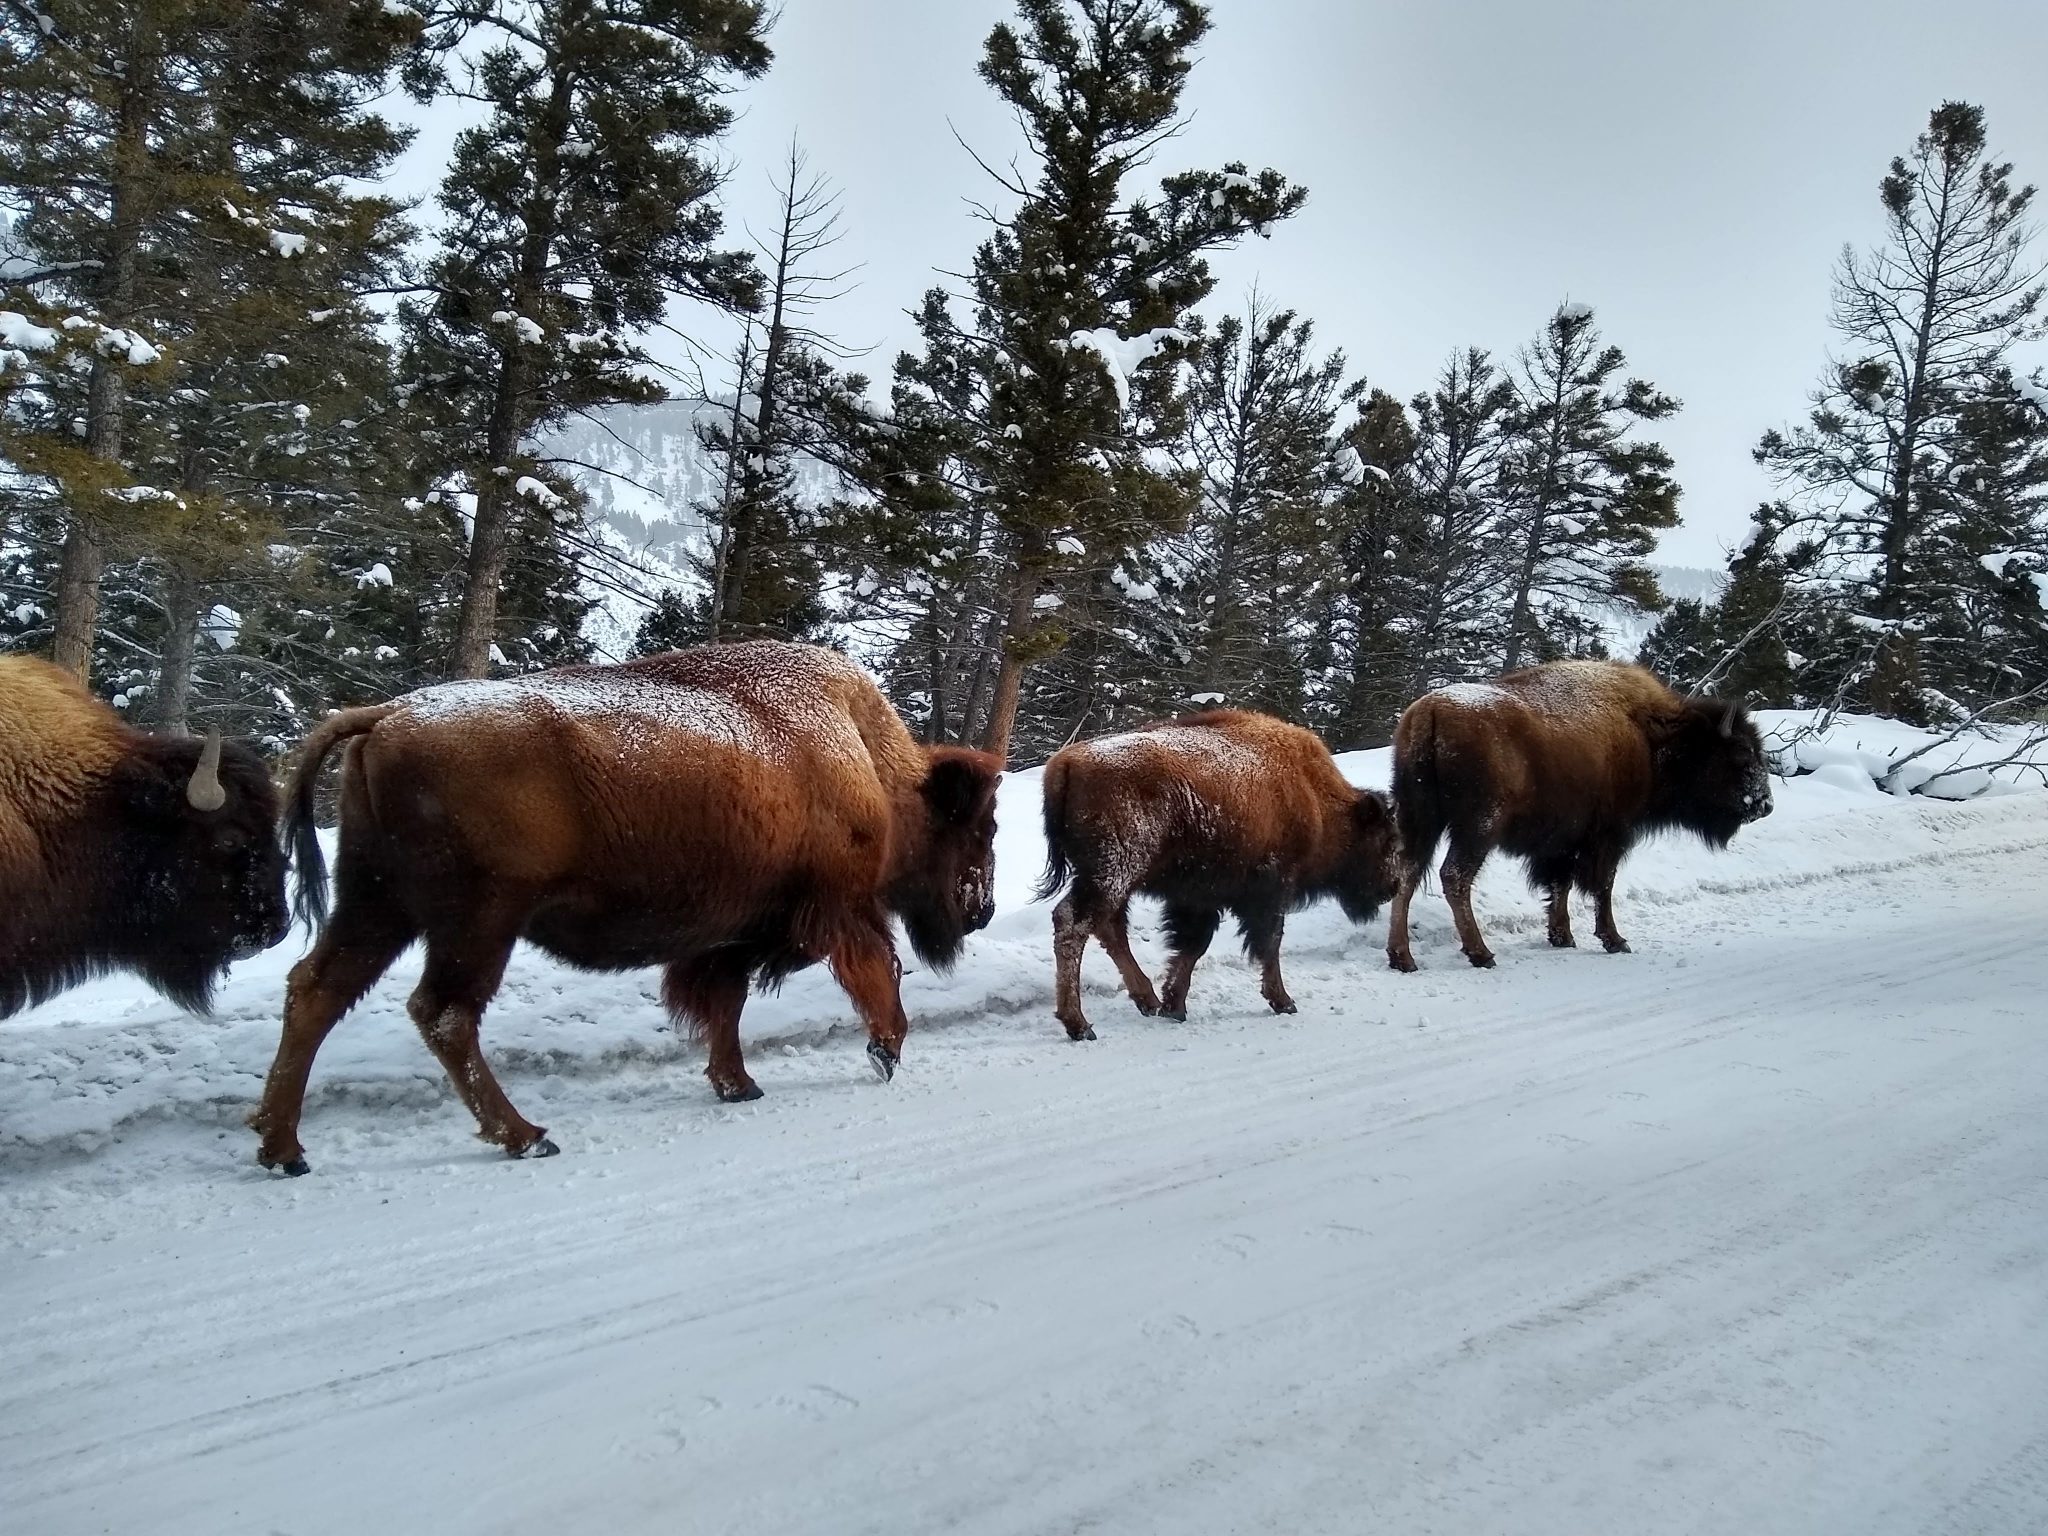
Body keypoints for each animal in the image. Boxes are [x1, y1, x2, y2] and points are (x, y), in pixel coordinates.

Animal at [251, 638, 1003, 1179]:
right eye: (977, 829)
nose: (984, 910)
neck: (868, 763)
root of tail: (385, 716)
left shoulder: (733, 933)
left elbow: (724, 1002)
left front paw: (737, 1085)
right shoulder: (835, 910)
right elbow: (877, 971)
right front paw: (885, 1052)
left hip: (378, 905)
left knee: (319, 991)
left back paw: (283, 1149)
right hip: (479, 920)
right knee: (444, 1013)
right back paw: (525, 1138)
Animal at [1040, 716, 1392, 1040]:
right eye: (1383, 840)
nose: (1391, 888)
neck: (1314, 796)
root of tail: (1066, 764)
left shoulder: (1198, 898)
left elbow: (1193, 945)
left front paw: (1174, 1005)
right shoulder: (1269, 891)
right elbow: (1269, 942)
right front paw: (1283, 1001)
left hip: (1112, 881)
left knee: (1110, 929)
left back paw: (1148, 1002)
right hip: (1113, 875)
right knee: (1074, 924)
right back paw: (1079, 1025)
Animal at [1392, 663, 1777, 974]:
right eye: (1741, 754)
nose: (1765, 804)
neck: (1650, 736)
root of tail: (1430, 712)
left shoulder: (1563, 842)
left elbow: (1559, 885)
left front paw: (1561, 936)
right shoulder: (1609, 835)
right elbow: (1602, 886)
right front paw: (1615, 941)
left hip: (1419, 820)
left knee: (1408, 875)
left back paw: (1402, 958)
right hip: (1478, 828)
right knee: (1454, 876)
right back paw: (1481, 954)